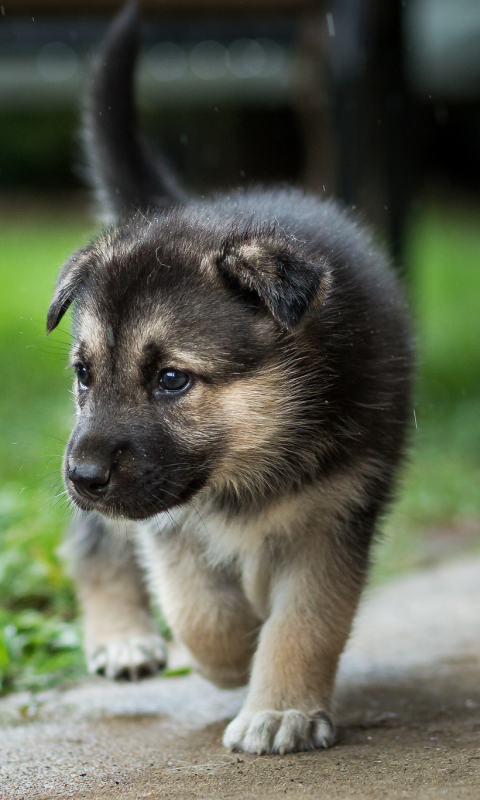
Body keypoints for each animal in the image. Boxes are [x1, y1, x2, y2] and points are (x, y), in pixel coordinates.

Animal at [48, 3, 412, 756]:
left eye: (171, 379)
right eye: (84, 375)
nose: (83, 477)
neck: (249, 466)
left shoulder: (335, 514)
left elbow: (306, 620)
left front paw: (281, 709)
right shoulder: (168, 518)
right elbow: (201, 612)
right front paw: (235, 655)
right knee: (92, 540)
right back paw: (122, 636)